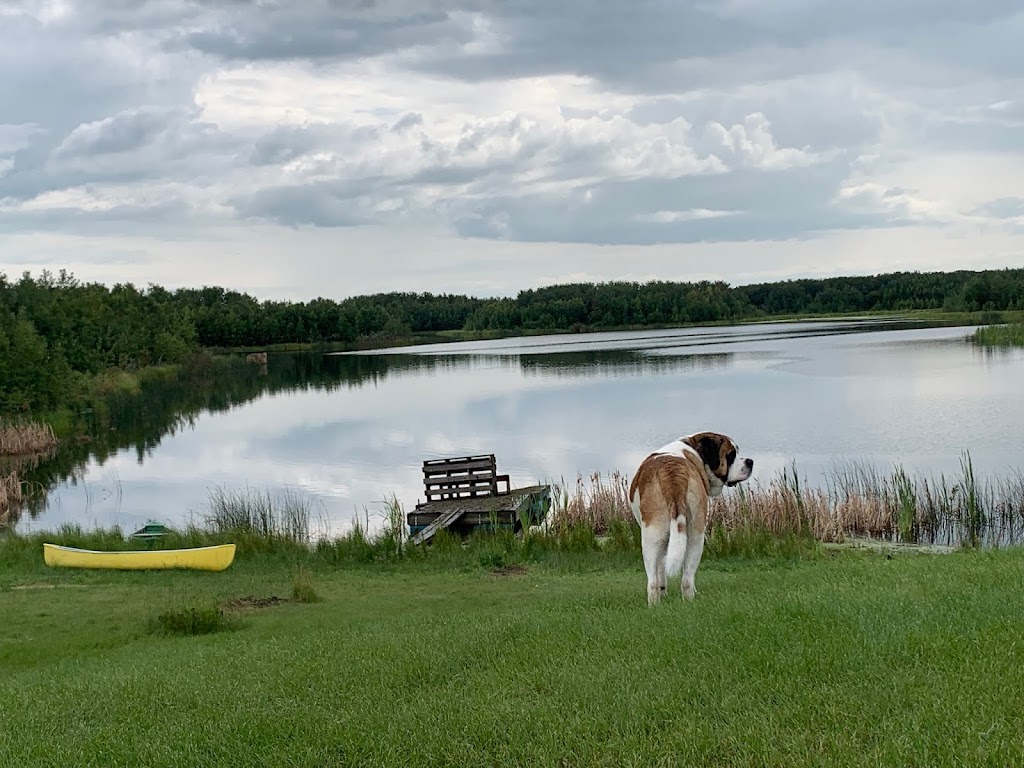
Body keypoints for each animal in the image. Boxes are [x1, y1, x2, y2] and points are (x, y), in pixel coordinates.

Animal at [622, 434, 753, 606]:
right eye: (731, 455)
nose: (750, 462)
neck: (691, 449)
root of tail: (673, 472)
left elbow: (660, 569)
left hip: (653, 535)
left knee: (654, 580)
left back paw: (655, 605)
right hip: (693, 533)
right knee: (686, 579)